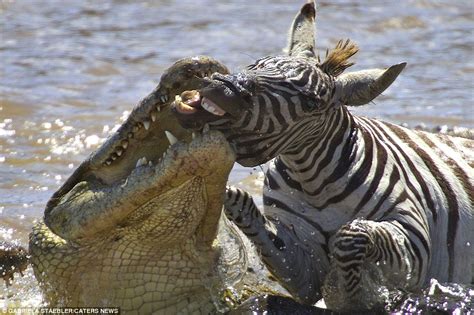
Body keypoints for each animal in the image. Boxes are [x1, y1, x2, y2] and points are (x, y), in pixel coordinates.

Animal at [172, 0, 472, 312]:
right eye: (254, 65)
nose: (223, 88)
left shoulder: (415, 241)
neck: (313, 183)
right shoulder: (302, 266)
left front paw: (346, 296)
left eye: (310, 103)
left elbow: (350, 236)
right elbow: (241, 204)